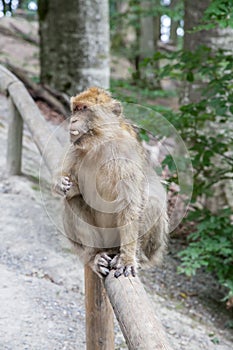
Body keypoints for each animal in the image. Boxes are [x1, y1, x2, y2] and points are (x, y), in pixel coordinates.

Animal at [53, 86, 168, 278]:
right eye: (75, 109)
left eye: (84, 108)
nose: (73, 120)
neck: (100, 142)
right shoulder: (75, 149)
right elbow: (72, 190)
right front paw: (61, 183)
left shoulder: (125, 155)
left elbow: (130, 206)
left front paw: (127, 259)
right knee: (73, 201)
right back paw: (95, 255)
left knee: (153, 203)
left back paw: (130, 254)